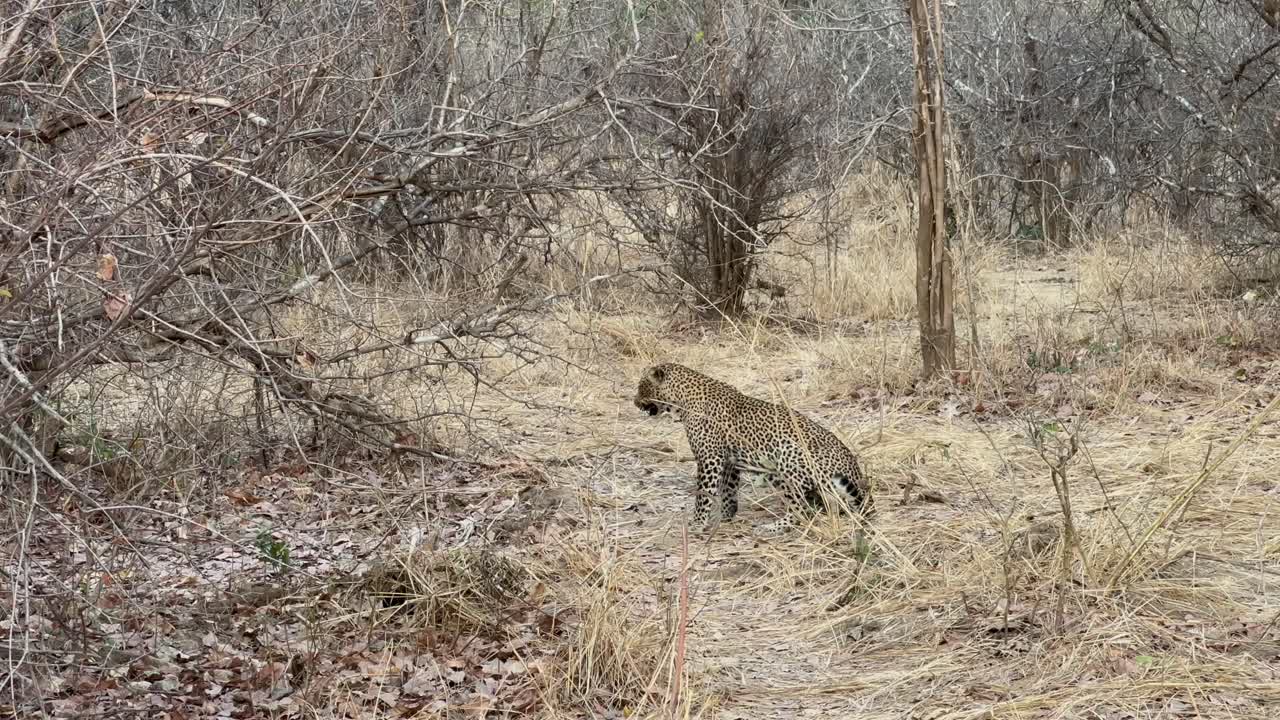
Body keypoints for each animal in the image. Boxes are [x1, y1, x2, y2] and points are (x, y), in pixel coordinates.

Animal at [634, 362, 873, 534]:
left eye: (640, 386)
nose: (634, 402)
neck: (681, 400)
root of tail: (854, 468)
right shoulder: (729, 461)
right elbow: (728, 491)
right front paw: (725, 516)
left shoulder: (709, 458)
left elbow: (704, 494)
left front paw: (698, 523)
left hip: (785, 457)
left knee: (801, 510)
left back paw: (771, 528)